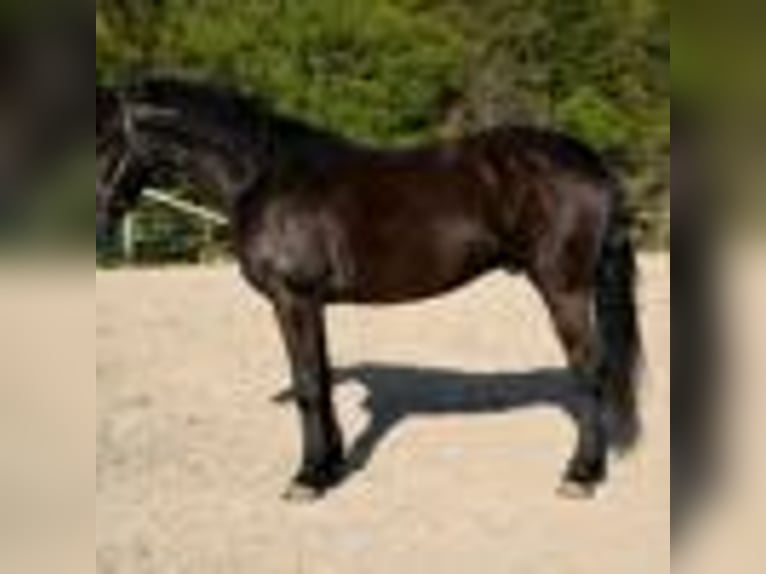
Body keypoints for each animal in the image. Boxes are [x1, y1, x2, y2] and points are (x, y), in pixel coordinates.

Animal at [97, 77, 642, 501]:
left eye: (103, 139)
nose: (100, 221)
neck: (263, 174)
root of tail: (590, 162)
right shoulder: (312, 303)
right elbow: (318, 376)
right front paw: (331, 468)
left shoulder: (292, 298)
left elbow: (307, 385)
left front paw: (307, 479)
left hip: (564, 287)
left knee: (589, 369)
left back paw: (580, 475)